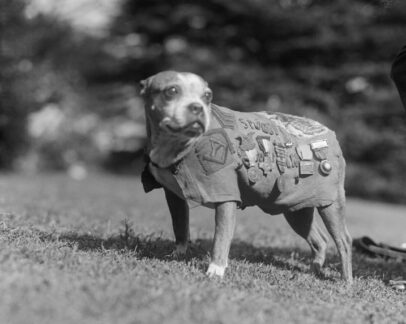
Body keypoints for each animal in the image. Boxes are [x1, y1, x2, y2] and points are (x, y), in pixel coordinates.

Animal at [140, 69, 352, 282]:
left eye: (207, 96)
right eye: (171, 91)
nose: (197, 107)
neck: (178, 146)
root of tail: (328, 132)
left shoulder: (225, 197)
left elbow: (221, 237)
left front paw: (216, 270)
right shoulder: (174, 196)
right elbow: (180, 226)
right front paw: (178, 254)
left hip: (331, 204)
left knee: (344, 241)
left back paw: (346, 281)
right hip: (296, 209)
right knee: (319, 240)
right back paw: (314, 270)